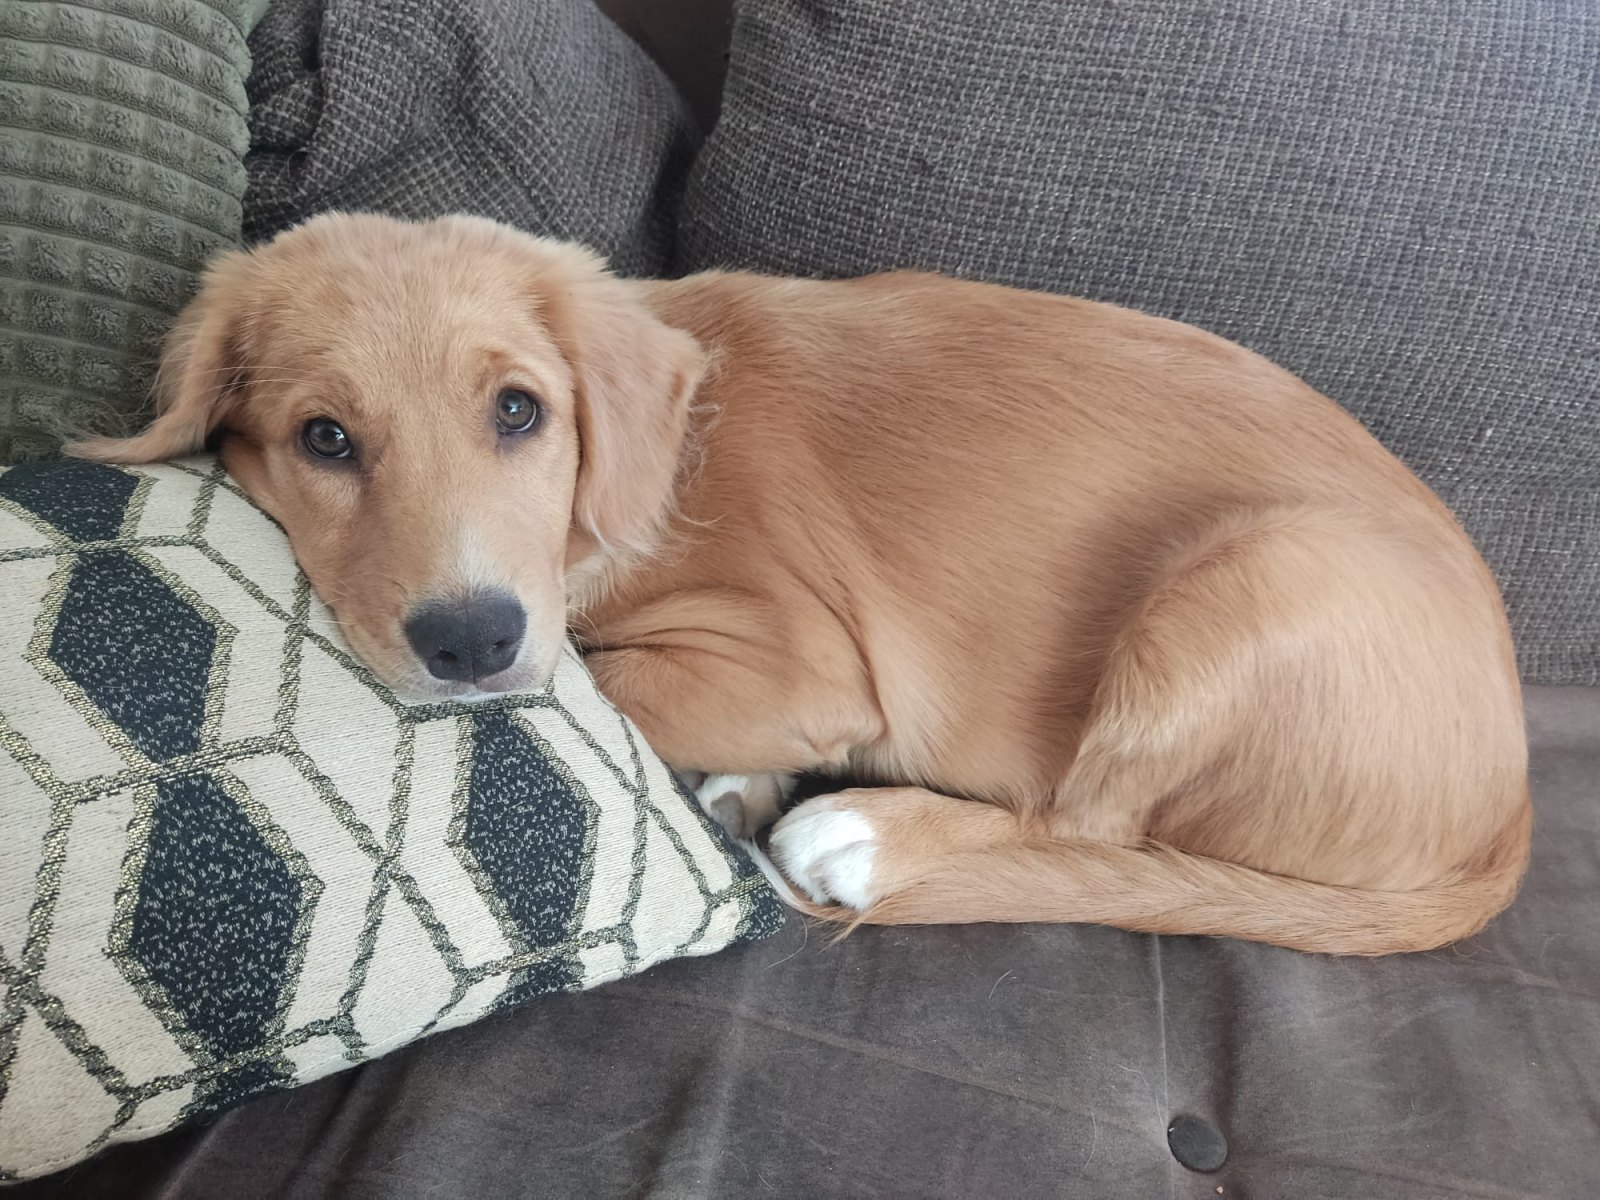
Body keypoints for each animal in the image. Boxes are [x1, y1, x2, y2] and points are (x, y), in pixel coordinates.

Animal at [75, 212, 1531, 955]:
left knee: (1096, 833)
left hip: (1253, 580)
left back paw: (867, 836)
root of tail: (1507, 808)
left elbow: (612, 677)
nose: (470, 643)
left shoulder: (798, 656)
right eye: (324, 440)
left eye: (518, 411)